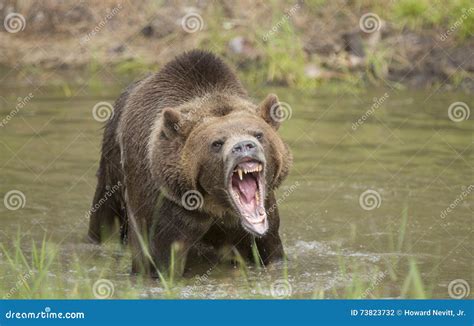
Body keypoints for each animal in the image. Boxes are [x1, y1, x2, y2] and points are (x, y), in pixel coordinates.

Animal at [87, 49, 290, 276]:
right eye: (217, 143)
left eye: (258, 134)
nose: (244, 146)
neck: (216, 205)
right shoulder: (167, 209)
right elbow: (160, 260)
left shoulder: (263, 217)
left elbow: (270, 250)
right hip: (112, 167)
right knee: (105, 216)